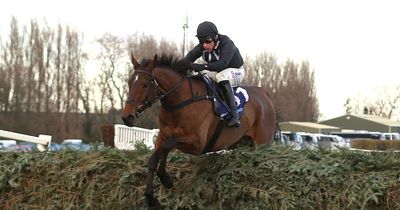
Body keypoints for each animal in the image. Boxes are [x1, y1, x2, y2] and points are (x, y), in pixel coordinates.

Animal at [120, 53, 276, 208]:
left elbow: (167, 146)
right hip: (244, 143)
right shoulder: (163, 135)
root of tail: (265, 94)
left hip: (261, 143)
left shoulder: (197, 143)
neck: (181, 102)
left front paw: (165, 179)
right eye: (129, 83)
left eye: (145, 84)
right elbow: (153, 159)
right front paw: (150, 198)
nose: (127, 117)